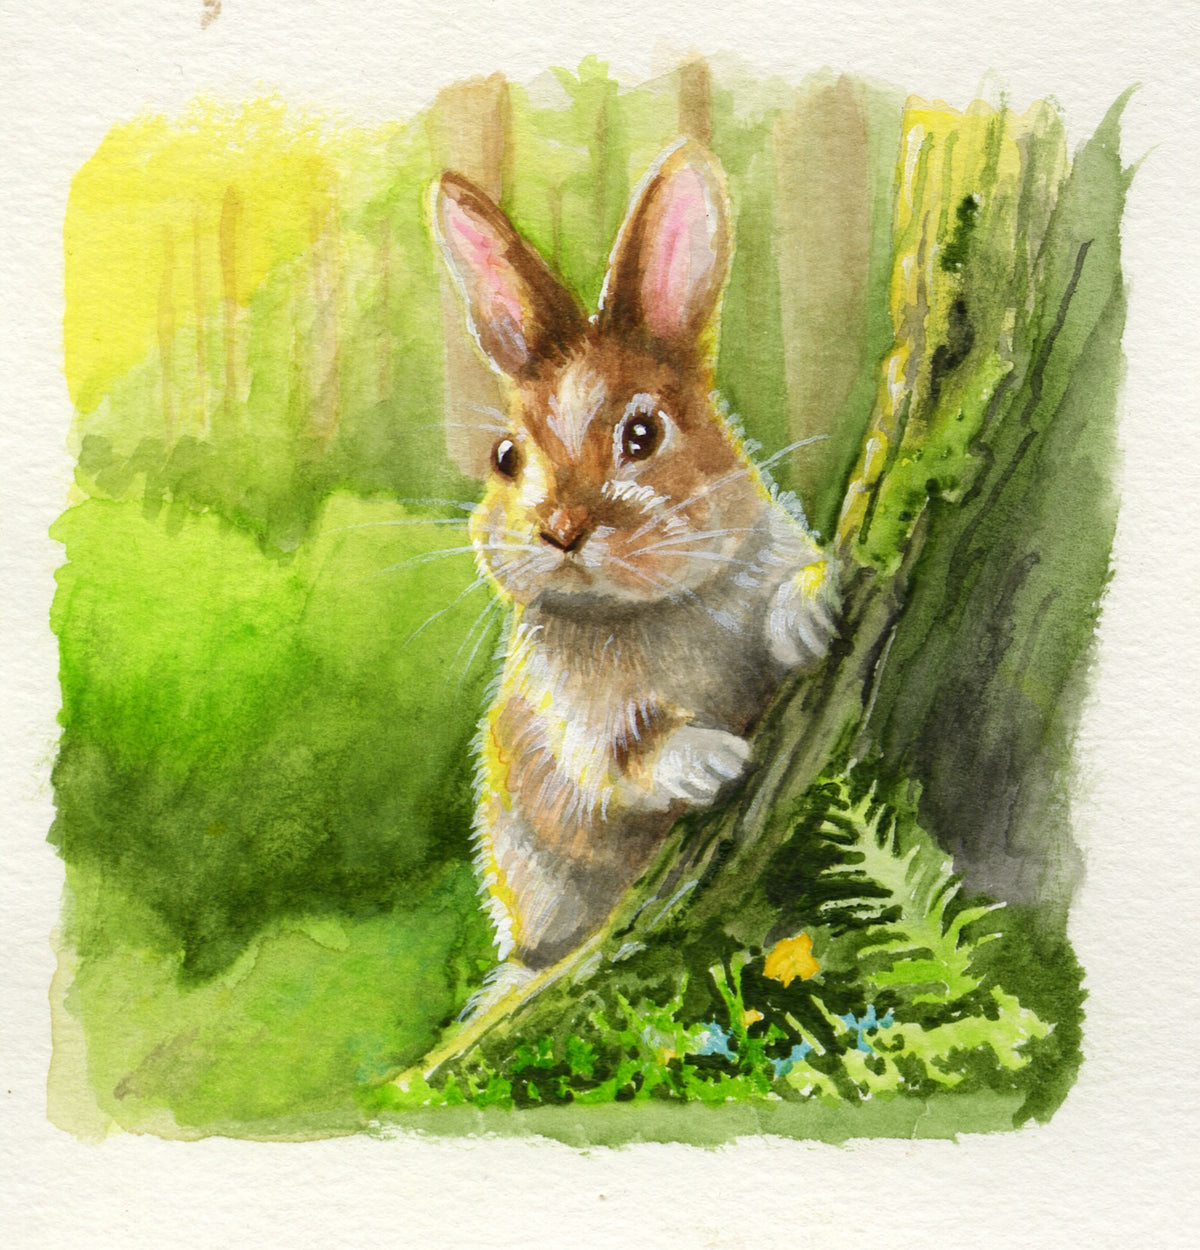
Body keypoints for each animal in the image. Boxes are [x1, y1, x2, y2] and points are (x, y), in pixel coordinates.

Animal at [432, 140, 839, 988]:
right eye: (506, 456)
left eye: (644, 433)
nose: (561, 529)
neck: (654, 606)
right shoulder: (574, 733)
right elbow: (623, 764)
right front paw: (707, 760)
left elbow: (803, 577)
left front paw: (808, 614)